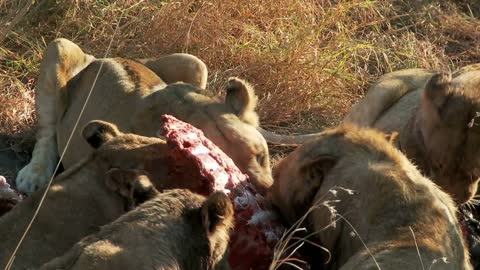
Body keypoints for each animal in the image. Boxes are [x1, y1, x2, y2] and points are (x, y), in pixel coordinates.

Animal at [16, 37, 272, 194]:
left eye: (261, 156)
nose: (267, 194)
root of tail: (100, 57)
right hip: (61, 47)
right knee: (48, 132)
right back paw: (34, 175)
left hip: (195, 63)